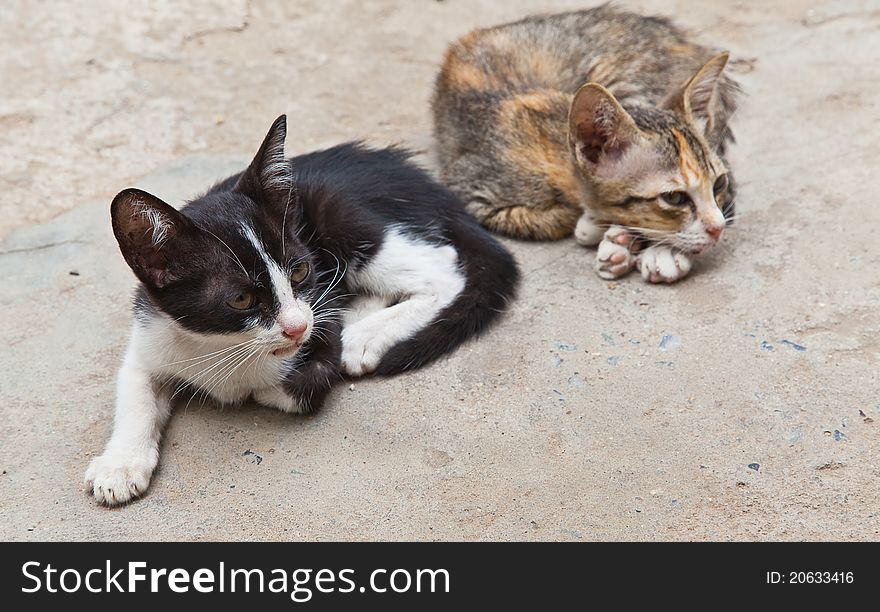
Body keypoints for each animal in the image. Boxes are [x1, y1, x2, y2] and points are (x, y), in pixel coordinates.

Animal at [84, 116, 516, 506]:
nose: (297, 327)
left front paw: (271, 384)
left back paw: (364, 334)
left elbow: (297, 386)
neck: (222, 346)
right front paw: (119, 465)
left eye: (299, 271)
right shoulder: (152, 329)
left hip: (337, 206)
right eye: (241, 300)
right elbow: (135, 390)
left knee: (442, 270)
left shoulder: (317, 319)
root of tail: (430, 185)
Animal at [436, 5, 740, 284]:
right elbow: (555, 219)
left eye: (718, 185)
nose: (718, 229)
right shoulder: (471, 192)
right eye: (674, 198)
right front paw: (599, 226)